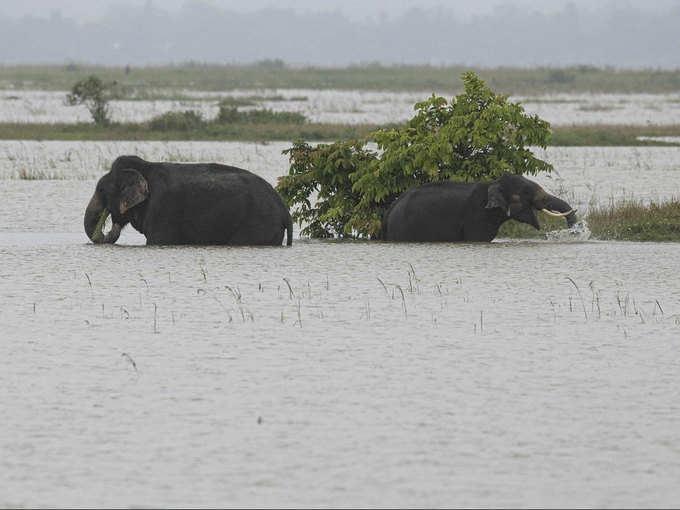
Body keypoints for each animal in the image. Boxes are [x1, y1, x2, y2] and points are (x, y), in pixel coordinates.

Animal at [83, 154, 292, 246]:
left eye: (101, 190)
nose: (111, 224)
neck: (145, 167)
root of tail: (284, 209)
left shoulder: (162, 208)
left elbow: (157, 240)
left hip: (259, 223)